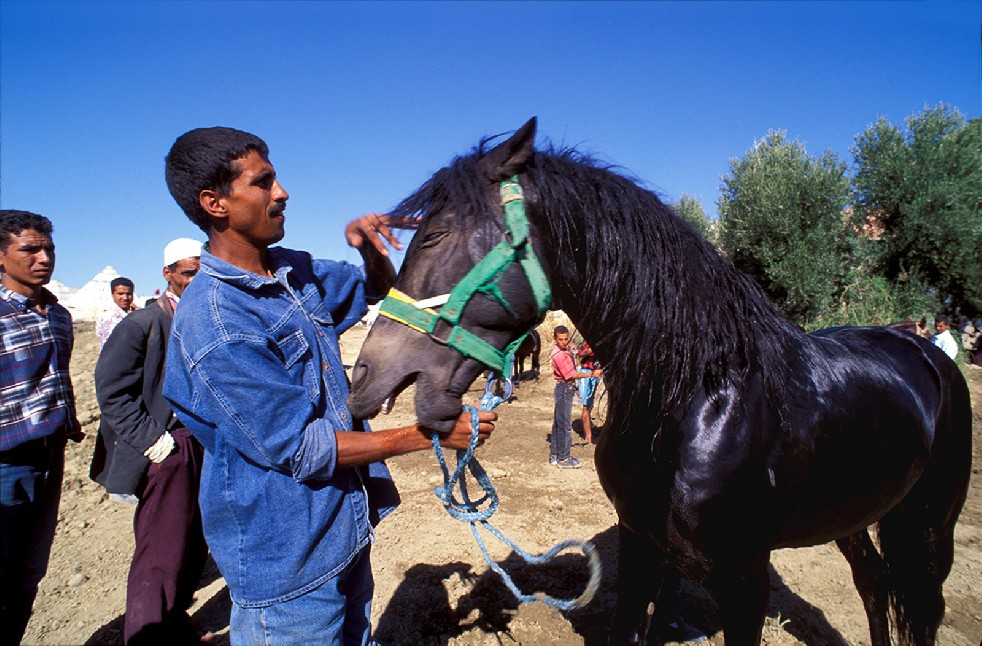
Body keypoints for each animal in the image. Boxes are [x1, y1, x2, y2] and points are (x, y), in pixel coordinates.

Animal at [348, 119, 976, 644]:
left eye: (435, 236)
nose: (366, 377)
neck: (694, 398)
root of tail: (925, 352)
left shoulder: (744, 580)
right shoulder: (642, 546)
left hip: (928, 527)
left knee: (921, 607)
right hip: (856, 515)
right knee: (873, 585)